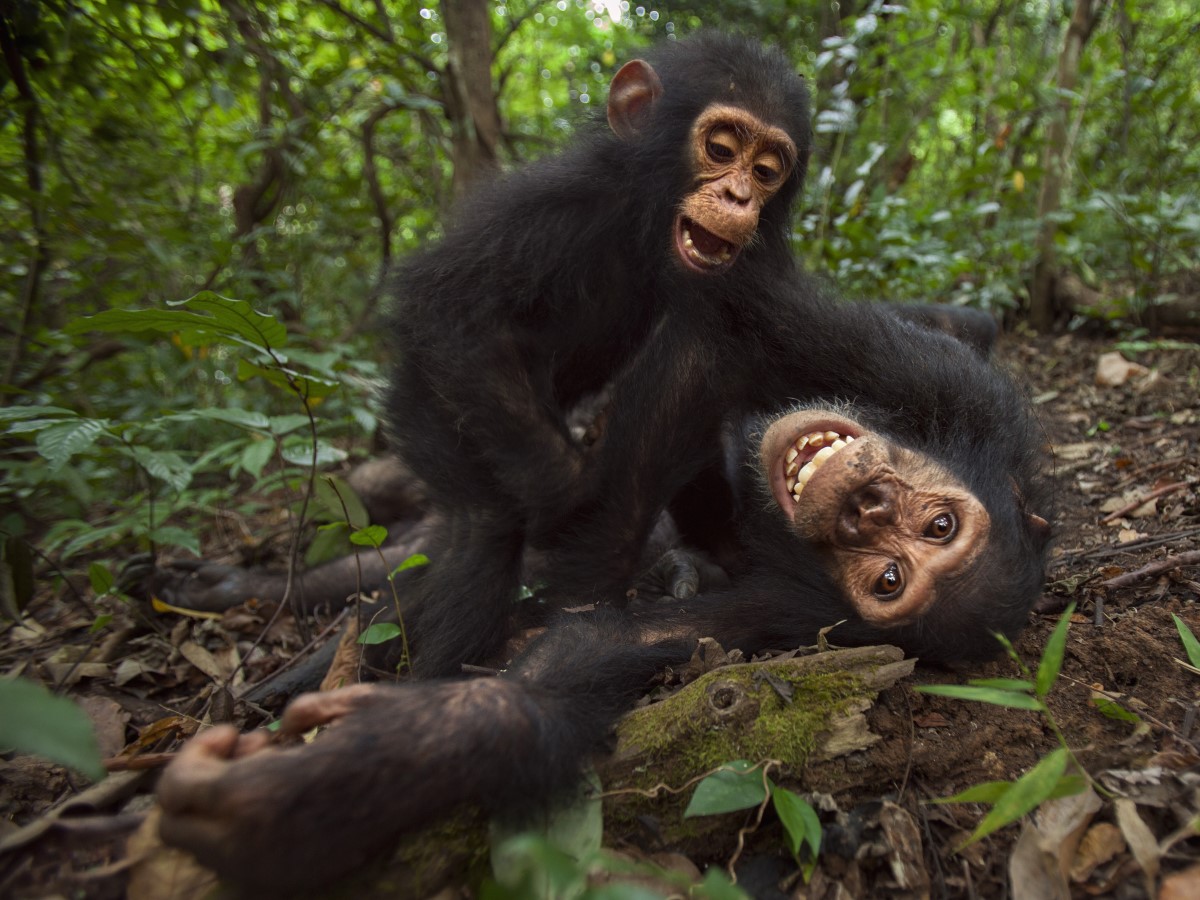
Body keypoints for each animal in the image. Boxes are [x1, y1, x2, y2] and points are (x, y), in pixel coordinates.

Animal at [157, 286, 1051, 897]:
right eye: (935, 526)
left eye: (888, 579)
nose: (866, 506)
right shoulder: (958, 392)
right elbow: (736, 332)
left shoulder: (787, 616)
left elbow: (591, 649)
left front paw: (329, 782)